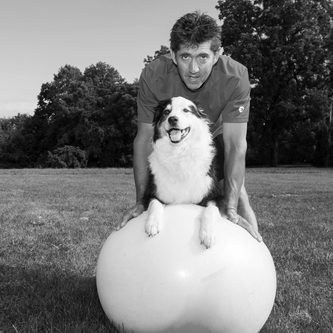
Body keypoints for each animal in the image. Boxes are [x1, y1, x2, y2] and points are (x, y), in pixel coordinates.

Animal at [141, 95, 222, 246]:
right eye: (166, 112)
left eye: (186, 110)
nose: (172, 119)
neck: (179, 153)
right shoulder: (150, 193)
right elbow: (155, 204)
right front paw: (152, 224)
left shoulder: (216, 196)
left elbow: (210, 210)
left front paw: (208, 234)